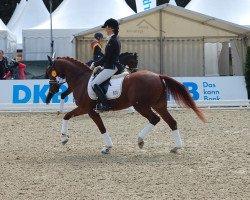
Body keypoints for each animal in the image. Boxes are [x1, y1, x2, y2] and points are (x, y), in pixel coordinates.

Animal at [46, 56, 206, 155]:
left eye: (49, 72)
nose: (52, 90)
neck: (81, 79)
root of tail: (158, 76)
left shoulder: (89, 110)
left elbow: (101, 128)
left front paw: (107, 147)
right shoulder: (85, 109)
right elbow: (67, 116)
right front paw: (64, 138)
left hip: (141, 106)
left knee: (155, 119)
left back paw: (140, 140)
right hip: (159, 105)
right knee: (171, 122)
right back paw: (176, 147)